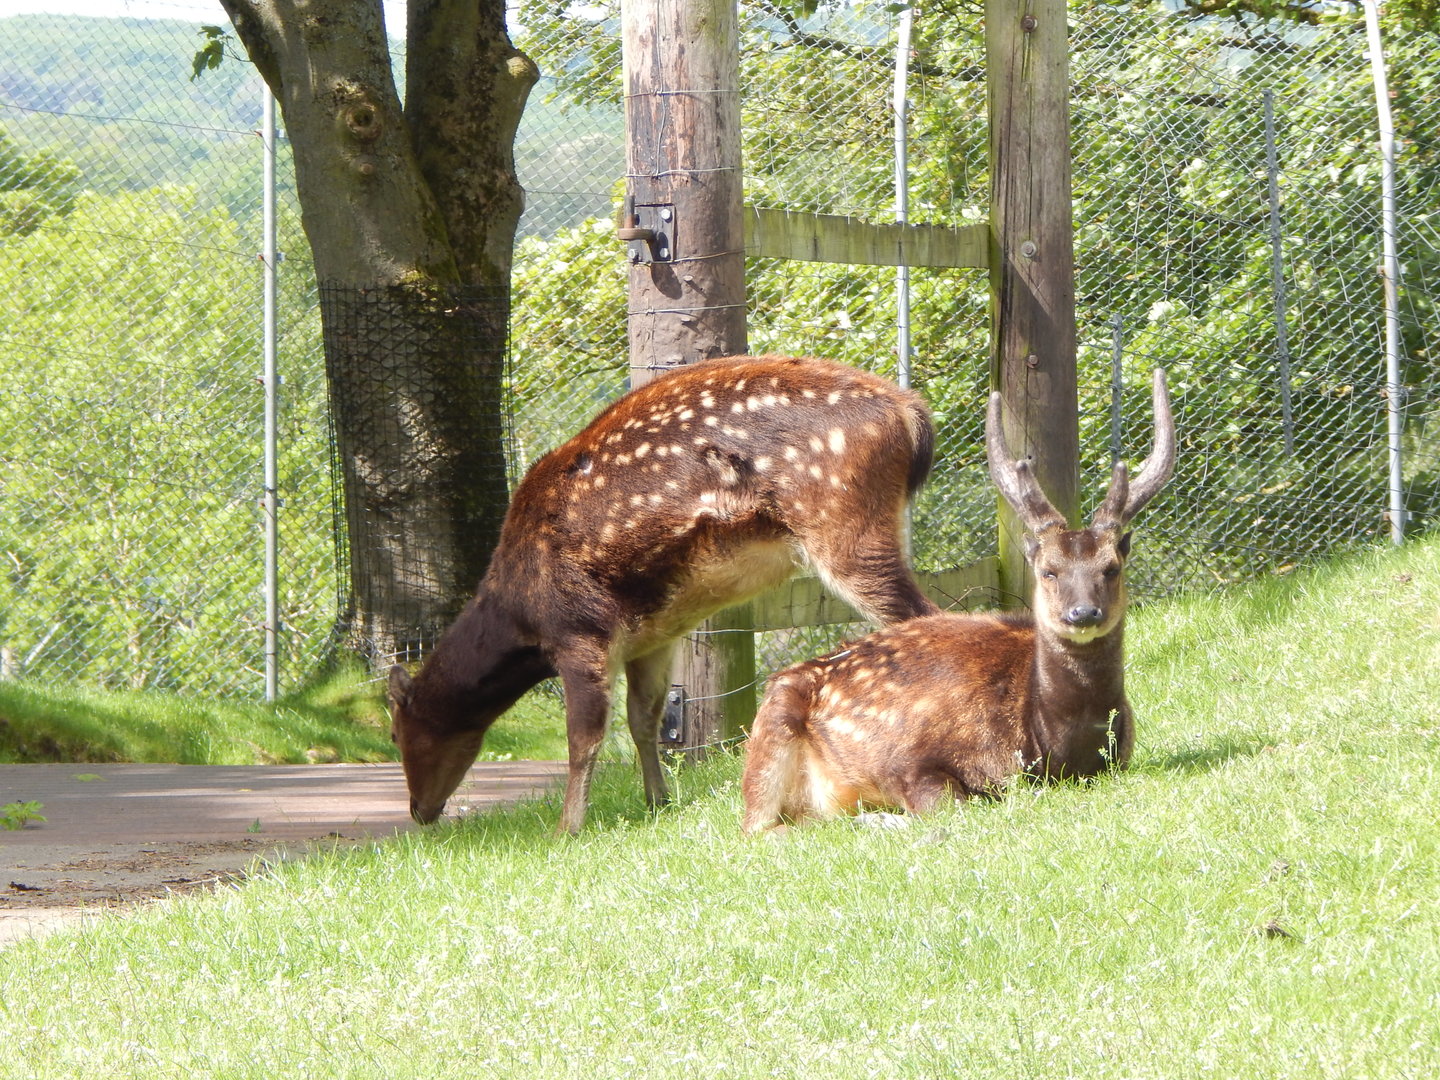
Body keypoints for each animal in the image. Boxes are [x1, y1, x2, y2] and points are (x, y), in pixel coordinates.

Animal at [387, 354, 941, 834]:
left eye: (396, 733)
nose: (418, 811)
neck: (520, 614)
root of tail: (911, 413)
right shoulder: (653, 635)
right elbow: (643, 719)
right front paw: (658, 801)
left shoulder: (580, 630)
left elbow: (583, 737)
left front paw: (567, 828)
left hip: (843, 523)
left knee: (921, 616)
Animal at [740, 369, 1176, 834]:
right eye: (1048, 570)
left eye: (1111, 567)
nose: (1083, 613)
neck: (1056, 747)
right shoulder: (908, 760)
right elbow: (951, 804)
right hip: (772, 731)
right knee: (761, 828)